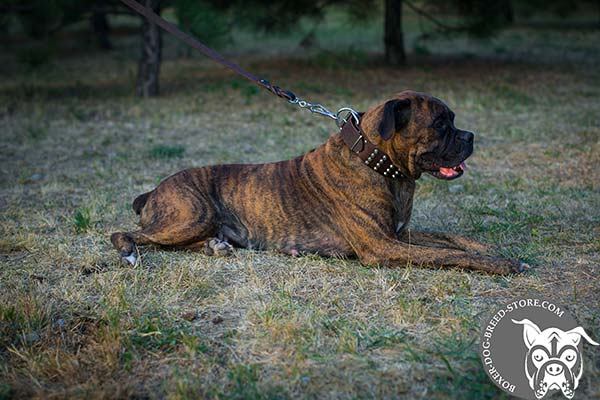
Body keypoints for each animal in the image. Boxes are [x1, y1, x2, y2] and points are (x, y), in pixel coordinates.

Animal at [112, 89, 524, 274]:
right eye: (441, 124)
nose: (470, 137)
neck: (379, 164)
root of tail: (153, 190)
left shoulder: (399, 233)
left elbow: (450, 239)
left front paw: (488, 248)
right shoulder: (381, 246)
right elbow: (449, 255)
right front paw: (500, 263)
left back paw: (216, 247)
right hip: (192, 215)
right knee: (126, 233)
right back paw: (129, 252)